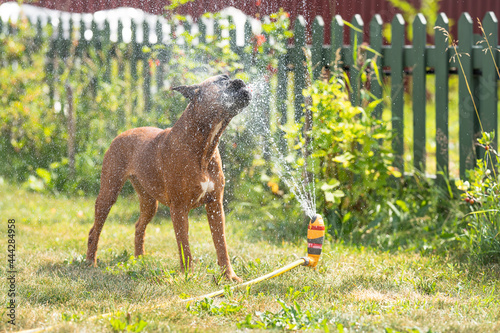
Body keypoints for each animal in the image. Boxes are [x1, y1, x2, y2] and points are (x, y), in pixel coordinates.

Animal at [86, 74, 252, 280]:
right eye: (222, 80)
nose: (241, 81)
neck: (202, 145)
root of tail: (123, 133)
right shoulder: (179, 209)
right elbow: (185, 247)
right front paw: (188, 276)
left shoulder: (215, 206)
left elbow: (221, 245)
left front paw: (229, 276)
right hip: (108, 194)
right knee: (95, 230)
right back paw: (90, 262)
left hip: (150, 204)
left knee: (139, 226)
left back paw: (139, 259)